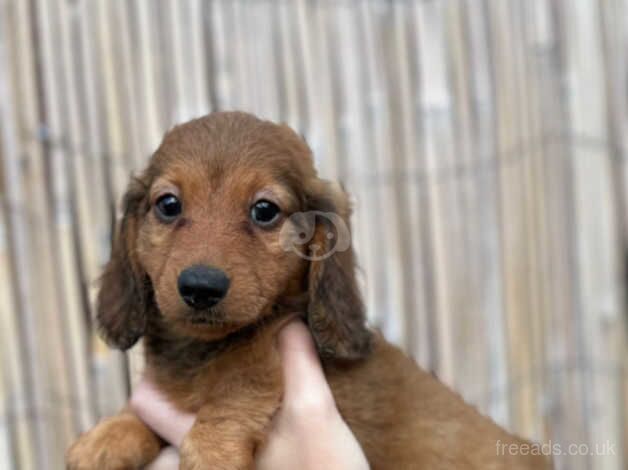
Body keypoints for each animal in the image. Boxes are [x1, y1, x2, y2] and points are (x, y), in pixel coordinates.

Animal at [66, 112, 552, 468]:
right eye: (168, 204)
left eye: (265, 210)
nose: (201, 287)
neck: (201, 354)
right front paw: (110, 435)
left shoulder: (272, 350)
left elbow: (248, 372)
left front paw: (211, 449)